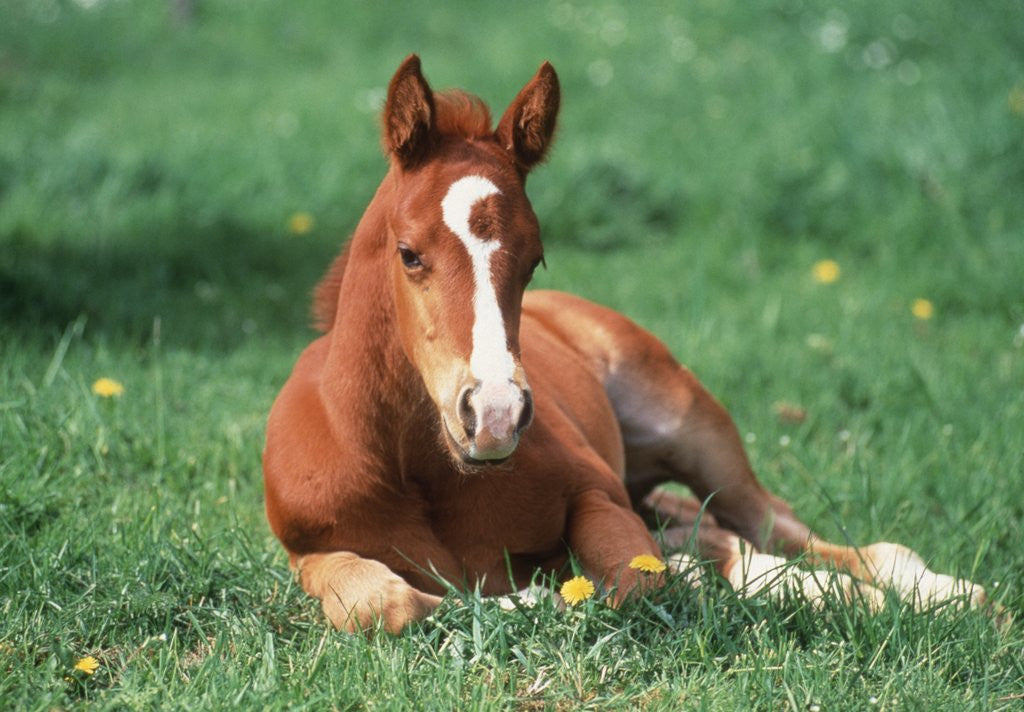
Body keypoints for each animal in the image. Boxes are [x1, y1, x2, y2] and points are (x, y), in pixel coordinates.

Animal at [263, 55, 987, 634]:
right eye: (410, 254)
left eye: (534, 260)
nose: (494, 415)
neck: (420, 468)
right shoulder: (309, 550)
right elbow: (381, 604)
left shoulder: (598, 492)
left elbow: (629, 577)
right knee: (714, 534)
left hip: (694, 429)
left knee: (784, 529)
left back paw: (947, 594)